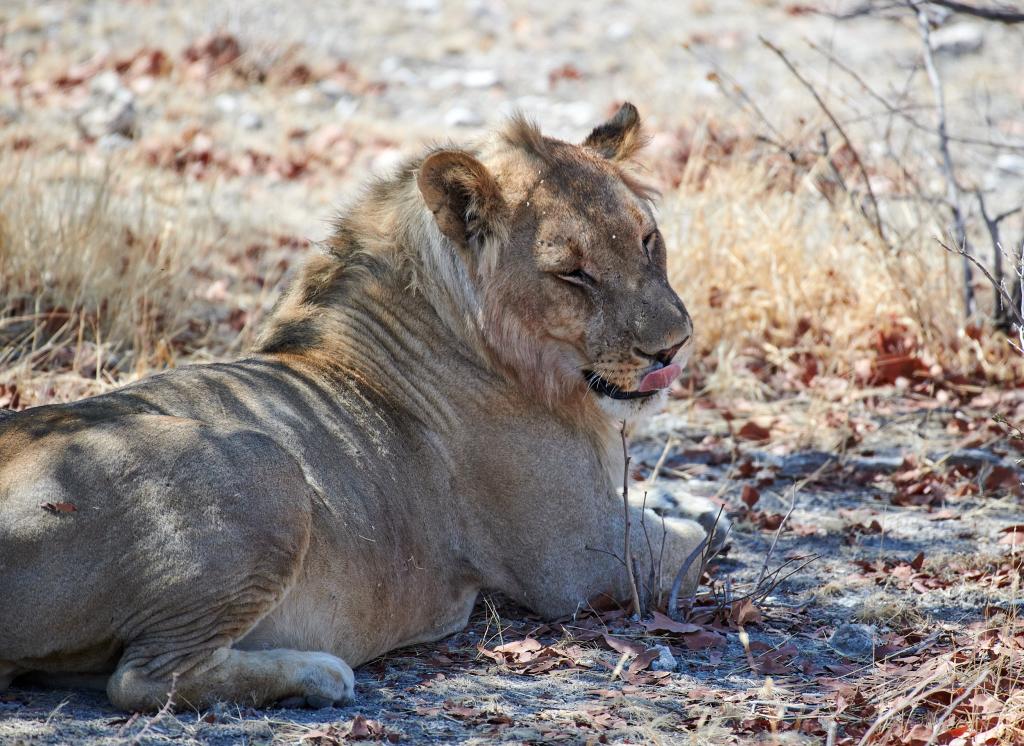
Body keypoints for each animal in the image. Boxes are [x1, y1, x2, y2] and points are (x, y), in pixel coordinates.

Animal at [0, 104, 716, 708]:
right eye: (572, 273)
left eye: (648, 240)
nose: (673, 345)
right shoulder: (575, 559)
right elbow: (693, 547)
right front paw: (707, 522)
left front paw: (692, 497)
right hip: (261, 465)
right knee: (141, 680)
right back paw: (319, 675)